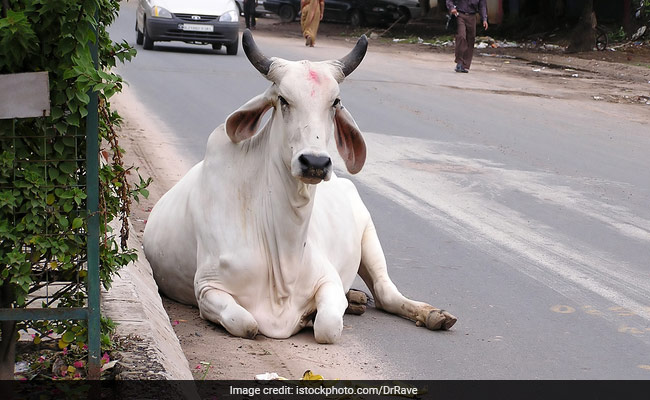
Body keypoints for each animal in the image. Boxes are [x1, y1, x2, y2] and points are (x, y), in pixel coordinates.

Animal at [143, 32, 456, 344]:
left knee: (385, 293)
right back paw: (357, 299)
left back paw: (431, 314)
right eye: (283, 99)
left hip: (368, 234)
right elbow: (246, 323)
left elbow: (328, 326)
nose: (315, 162)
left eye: (335, 101)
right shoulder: (207, 288)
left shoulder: (328, 279)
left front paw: (313, 315)